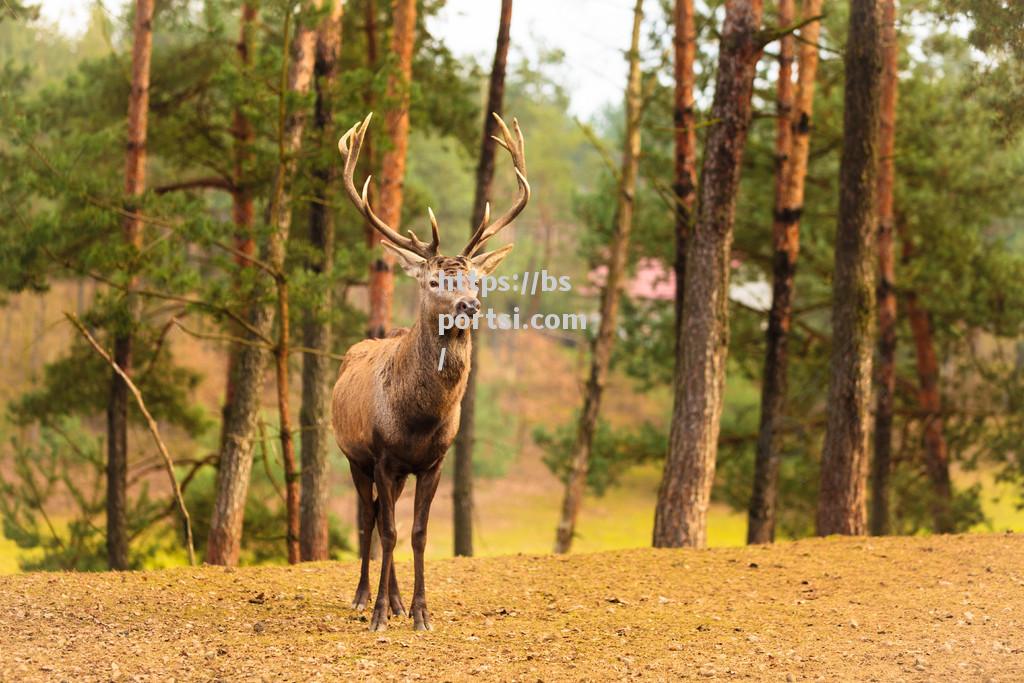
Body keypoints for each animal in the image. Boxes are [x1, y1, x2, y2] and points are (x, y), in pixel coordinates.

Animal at [333, 111, 532, 630]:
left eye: (476, 279)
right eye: (434, 280)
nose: (469, 305)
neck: (418, 418)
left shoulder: (433, 460)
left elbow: (418, 532)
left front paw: (420, 612)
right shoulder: (382, 455)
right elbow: (388, 531)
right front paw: (380, 615)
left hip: (397, 471)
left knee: (386, 518)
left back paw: (398, 600)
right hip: (353, 456)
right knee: (370, 519)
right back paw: (365, 597)